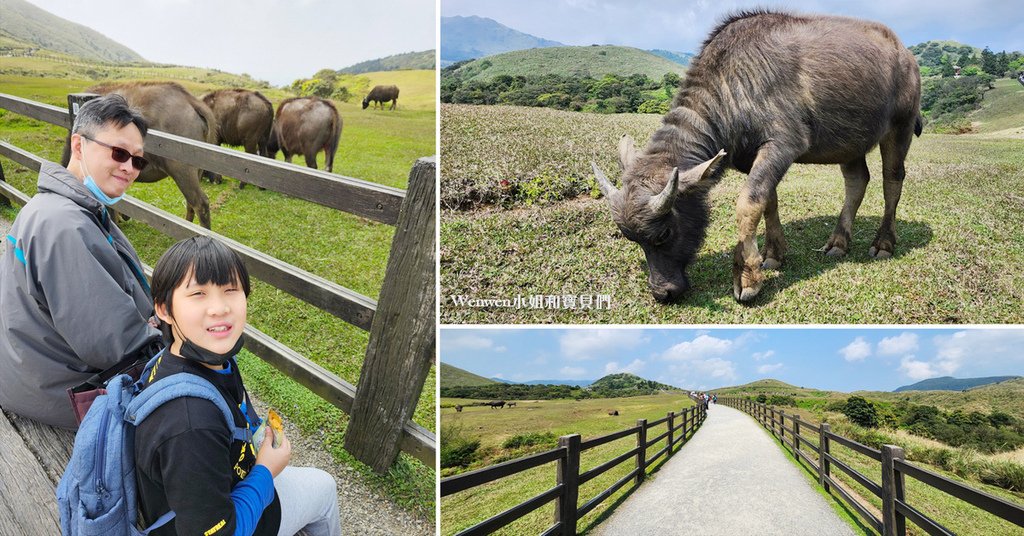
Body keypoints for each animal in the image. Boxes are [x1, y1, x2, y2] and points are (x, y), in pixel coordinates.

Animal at [60, 80, 217, 227]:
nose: (125, 217)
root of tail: (190, 100)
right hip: (197, 171)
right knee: (191, 203)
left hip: (182, 170)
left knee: (200, 203)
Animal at [589, 9, 925, 301]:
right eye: (633, 239)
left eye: (664, 233)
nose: (663, 292)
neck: (733, 87)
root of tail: (905, 55)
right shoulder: (753, 156)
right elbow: (768, 200)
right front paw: (773, 254)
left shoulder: (783, 144)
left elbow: (748, 203)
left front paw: (747, 277)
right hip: (850, 140)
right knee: (857, 181)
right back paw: (838, 242)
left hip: (901, 126)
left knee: (892, 180)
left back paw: (883, 243)